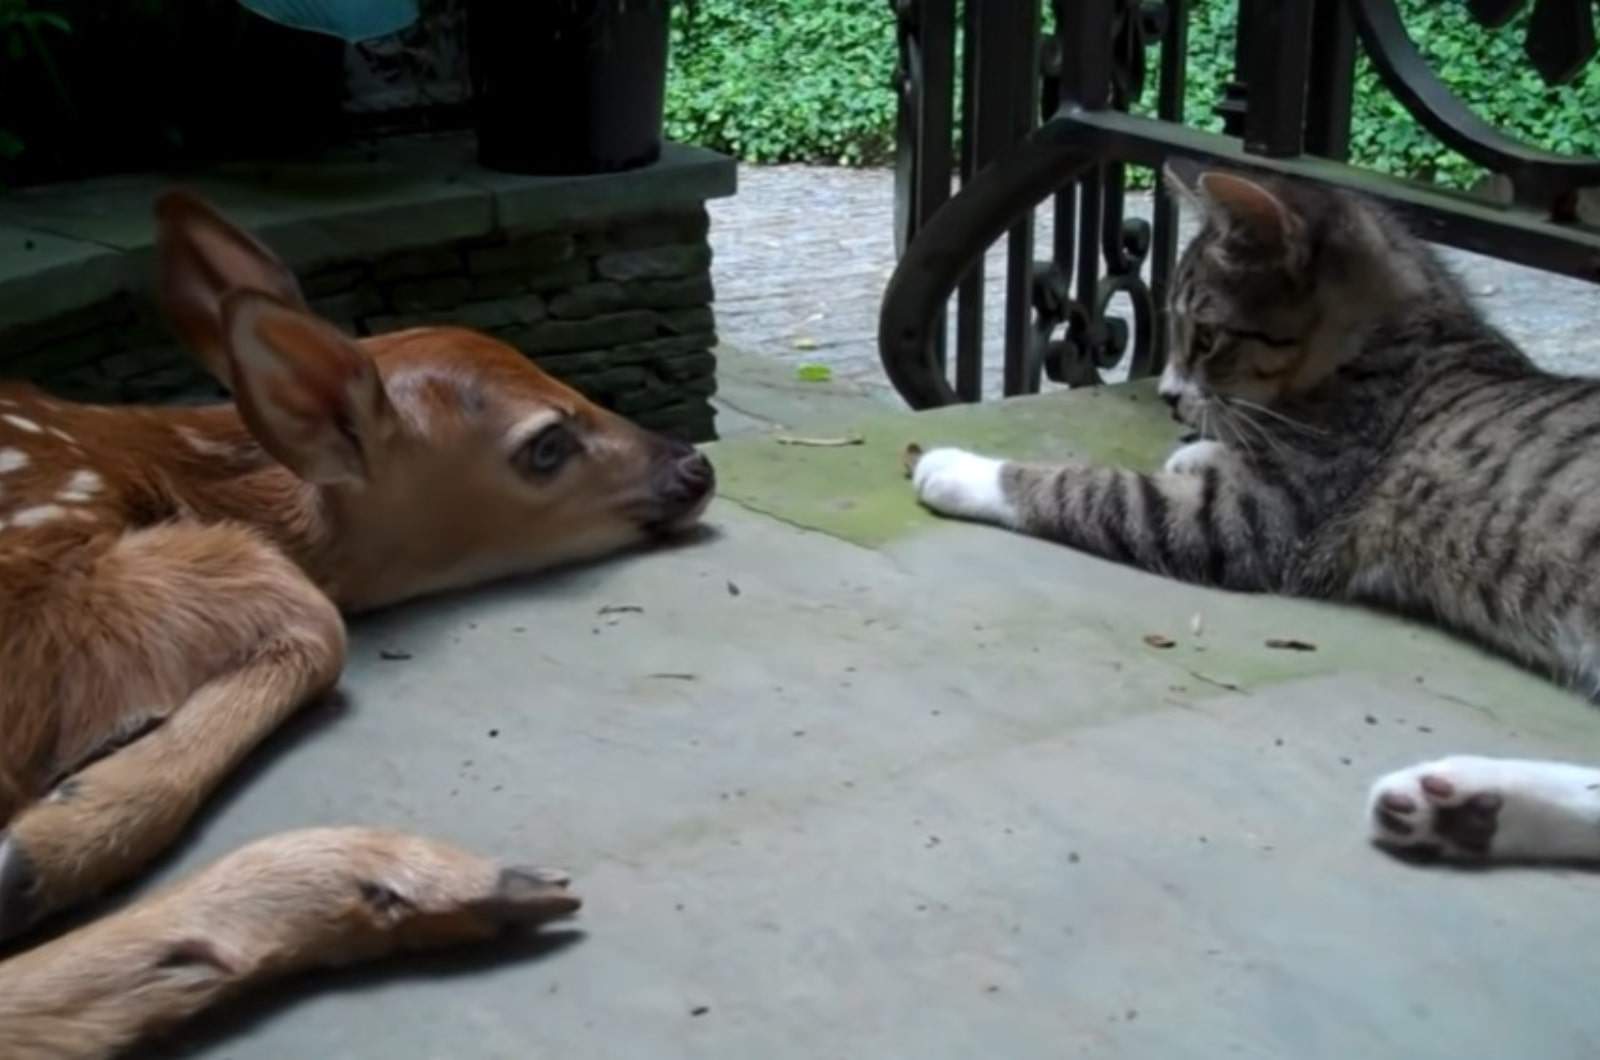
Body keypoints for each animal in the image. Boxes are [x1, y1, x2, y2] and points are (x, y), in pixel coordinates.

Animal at [908, 164, 1600, 864]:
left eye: (1208, 337)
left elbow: (1095, 489)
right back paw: (1461, 807)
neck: (1395, 339)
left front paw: (962, 471)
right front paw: (1200, 450)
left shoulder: (1260, 521)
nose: (1168, 396)